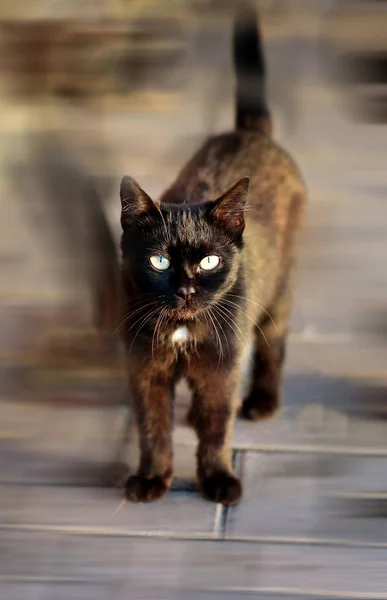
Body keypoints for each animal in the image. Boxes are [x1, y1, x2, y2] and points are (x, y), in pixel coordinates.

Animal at [119, 2, 308, 504]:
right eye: (159, 261)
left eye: (209, 261)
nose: (185, 289)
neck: (183, 330)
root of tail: (248, 132)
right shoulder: (146, 369)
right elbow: (152, 429)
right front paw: (152, 479)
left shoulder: (223, 365)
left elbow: (218, 428)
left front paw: (218, 479)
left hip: (279, 292)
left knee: (273, 344)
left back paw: (262, 402)